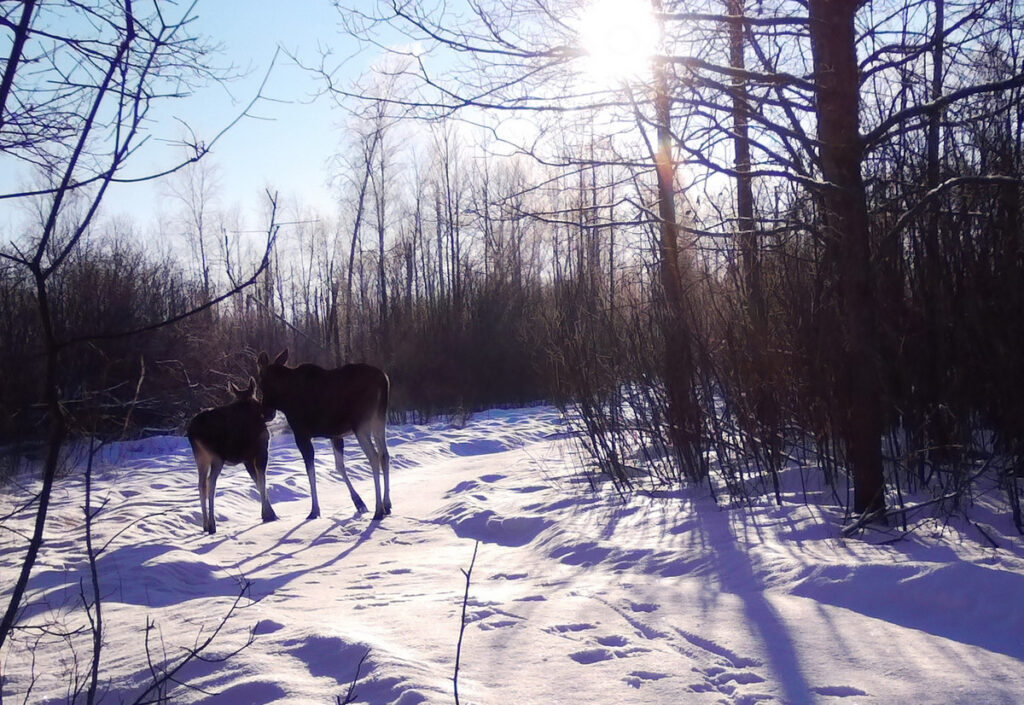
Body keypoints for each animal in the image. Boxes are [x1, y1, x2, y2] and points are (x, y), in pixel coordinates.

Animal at [186, 379, 276, 532]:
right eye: (257, 401)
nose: (271, 413)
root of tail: (192, 432)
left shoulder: (247, 459)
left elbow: (257, 482)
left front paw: (268, 513)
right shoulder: (260, 452)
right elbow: (262, 480)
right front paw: (268, 514)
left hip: (200, 457)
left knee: (201, 484)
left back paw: (205, 524)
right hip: (217, 457)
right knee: (211, 483)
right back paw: (212, 524)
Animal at [256, 350, 391, 520]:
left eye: (261, 382)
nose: (266, 413)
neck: (285, 399)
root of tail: (383, 380)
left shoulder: (301, 434)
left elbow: (310, 472)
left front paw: (314, 510)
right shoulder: (335, 435)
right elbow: (339, 466)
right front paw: (359, 503)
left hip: (361, 426)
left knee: (374, 456)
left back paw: (378, 509)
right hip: (379, 421)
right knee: (384, 455)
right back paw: (387, 504)